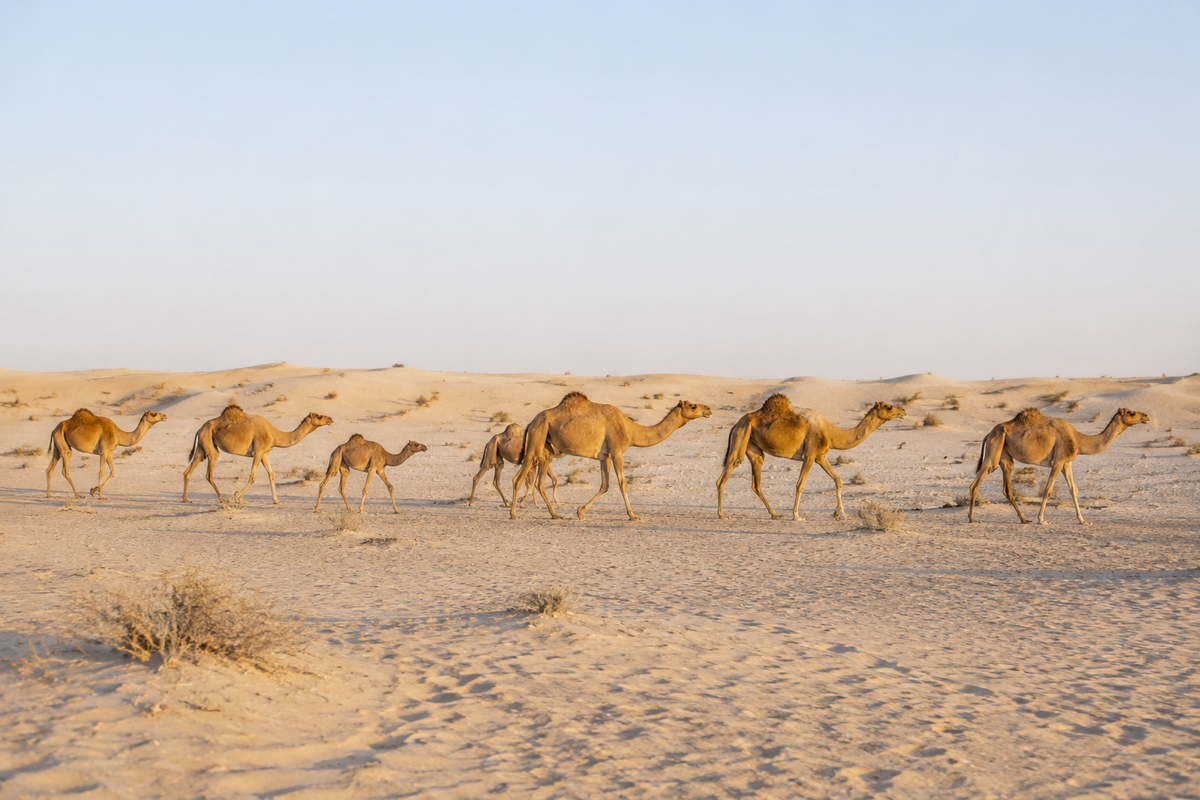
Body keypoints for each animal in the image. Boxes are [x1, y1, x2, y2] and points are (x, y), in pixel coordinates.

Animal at [182, 405, 333, 504]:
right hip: (210, 445)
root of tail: (200, 429)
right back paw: (223, 499)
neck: (275, 435)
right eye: (319, 416)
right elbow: (253, 477)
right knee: (209, 474)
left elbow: (272, 474)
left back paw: (185, 499)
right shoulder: (258, 452)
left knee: (188, 471)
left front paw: (277, 501)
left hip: (201, 448)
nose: (330, 419)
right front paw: (237, 497)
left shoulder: (265, 453)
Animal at [511, 392, 712, 521]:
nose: (708, 409)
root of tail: (531, 422)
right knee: (519, 477)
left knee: (538, 482)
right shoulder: (617, 452)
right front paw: (633, 516)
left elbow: (605, 485)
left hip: (547, 447)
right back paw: (514, 514)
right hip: (537, 438)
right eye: (692, 405)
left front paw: (580, 511)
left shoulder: (604, 456)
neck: (631, 430)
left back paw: (555, 515)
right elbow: (623, 484)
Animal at [716, 394, 906, 521]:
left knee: (756, 480)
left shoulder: (820, 456)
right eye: (888, 407)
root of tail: (736, 424)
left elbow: (838, 480)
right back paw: (722, 514)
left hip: (753, 448)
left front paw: (840, 513)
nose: (903, 410)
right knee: (726, 473)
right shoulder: (809, 455)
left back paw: (775, 514)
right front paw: (797, 516)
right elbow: (800, 484)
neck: (831, 432)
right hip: (741, 437)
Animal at [967, 406, 1149, 525]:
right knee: (976, 483)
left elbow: (1073, 490)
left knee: (1007, 488)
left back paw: (1024, 519)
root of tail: (988, 434)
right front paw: (1041, 520)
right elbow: (1048, 490)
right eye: (1132, 412)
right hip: (994, 451)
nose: (1146, 416)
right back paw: (972, 518)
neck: (1078, 440)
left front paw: (1083, 520)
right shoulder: (1058, 462)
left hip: (1005, 457)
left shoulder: (1067, 463)